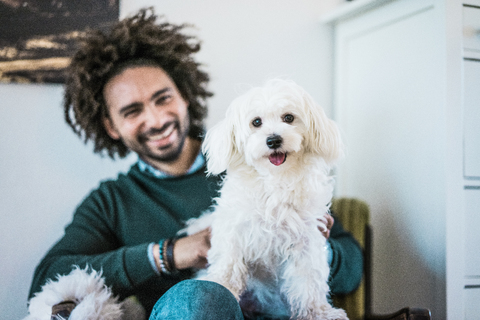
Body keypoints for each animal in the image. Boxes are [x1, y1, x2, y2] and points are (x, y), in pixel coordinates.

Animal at [183, 79, 344, 320]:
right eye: (256, 122)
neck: (275, 180)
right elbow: (228, 263)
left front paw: (317, 312)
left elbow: (308, 280)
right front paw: (219, 284)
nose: (273, 140)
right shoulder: (235, 230)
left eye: (289, 118)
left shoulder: (306, 242)